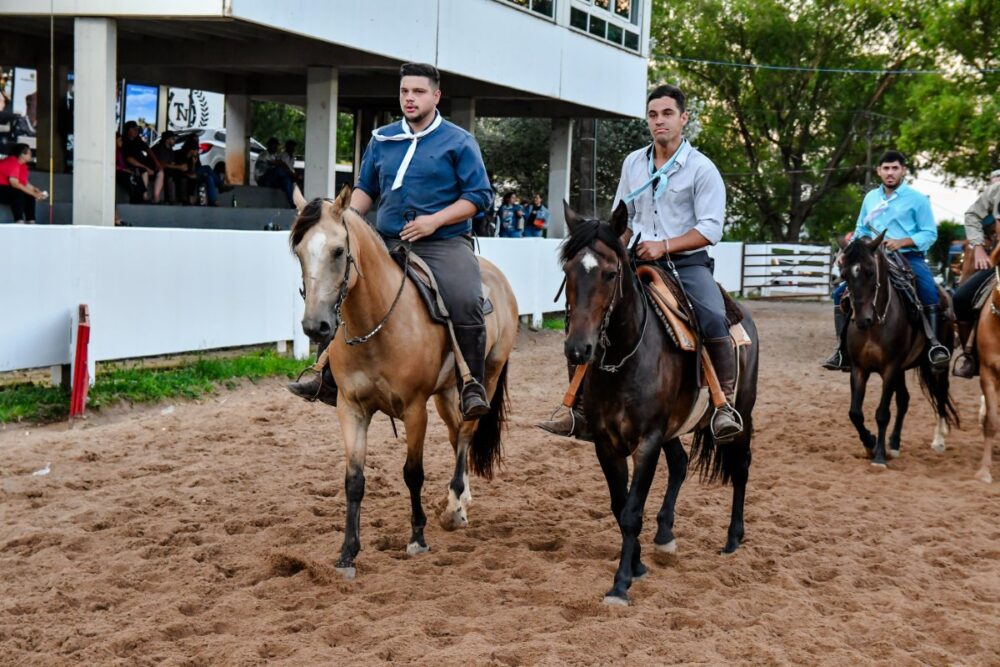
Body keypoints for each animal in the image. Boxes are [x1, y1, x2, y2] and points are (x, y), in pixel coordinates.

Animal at [289, 186, 518, 578]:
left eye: (338, 251)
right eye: (300, 250)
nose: (315, 327)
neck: (376, 322)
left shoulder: (414, 409)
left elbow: (413, 473)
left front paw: (417, 539)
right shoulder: (350, 408)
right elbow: (354, 481)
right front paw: (347, 554)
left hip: (485, 376)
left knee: (467, 431)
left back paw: (455, 509)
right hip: (446, 392)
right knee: (456, 435)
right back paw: (460, 498)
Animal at [560, 202, 759, 606]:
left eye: (610, 273)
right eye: (568, 271)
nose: (578, 349)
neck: (626, 357)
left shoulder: (648, 441)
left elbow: (632, 511)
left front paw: (621, 583)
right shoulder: (606, 442)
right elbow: (619, 506)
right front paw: (636, 565)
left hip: (743, 415)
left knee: (741, 467)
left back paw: (733, 538)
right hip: (674, 426)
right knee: (681, 464)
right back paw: (665, 534)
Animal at [840, 231, 959, 469]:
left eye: (870, 271)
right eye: (844, 274)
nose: (862, 320)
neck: (876, 324)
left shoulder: (890, 368)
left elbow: (882, 413)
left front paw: (878, 457)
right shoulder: (859, 369)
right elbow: (855, 413)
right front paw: (870, 444)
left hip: (938, 366)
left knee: (940, 395)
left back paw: (938, 441)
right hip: (902, 371)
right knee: (904, 401)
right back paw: (894, 444)